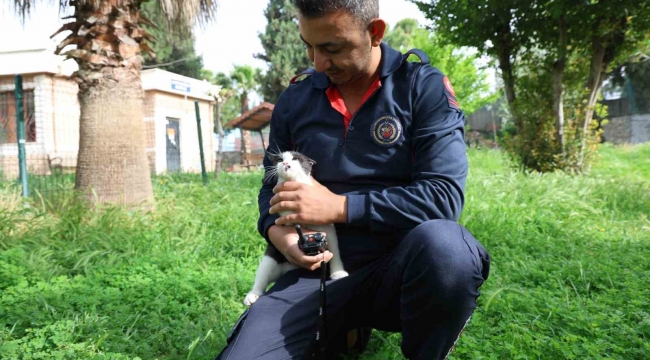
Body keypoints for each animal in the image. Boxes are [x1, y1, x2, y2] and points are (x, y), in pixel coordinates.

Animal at [242, 150, 346, 306]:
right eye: (279, 160)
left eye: (295, 158)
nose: (285, 163)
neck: (292, 182)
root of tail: (288, 269)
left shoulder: (328, 229)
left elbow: (335, 252)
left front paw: (338, 272)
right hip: (270, 260)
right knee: (262, 277)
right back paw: (252, 294)